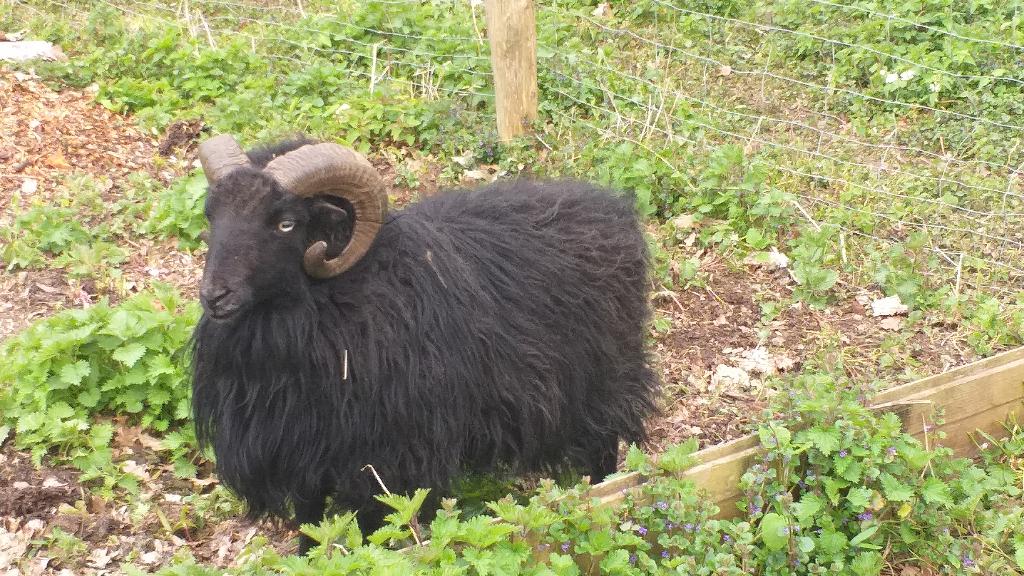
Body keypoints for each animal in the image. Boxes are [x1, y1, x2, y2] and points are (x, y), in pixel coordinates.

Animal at [189, 134, 660, 553]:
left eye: (285, 223)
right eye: (213, 217)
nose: (215, 296)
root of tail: (612, 208)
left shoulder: (386, 459)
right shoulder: (302, 457)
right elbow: (311, 529)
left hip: (602, 382)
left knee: (604, 449)